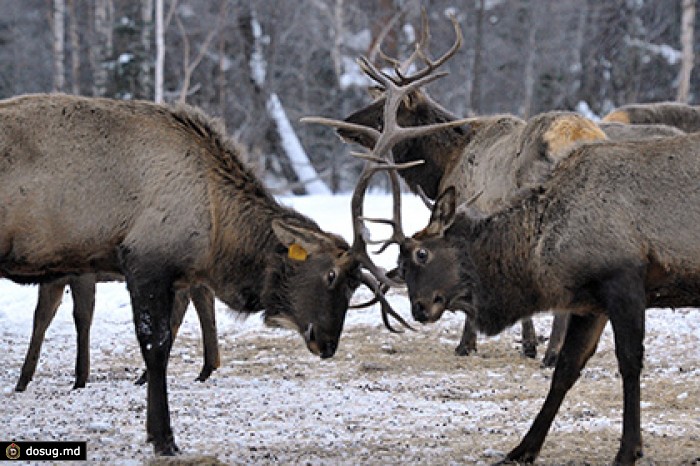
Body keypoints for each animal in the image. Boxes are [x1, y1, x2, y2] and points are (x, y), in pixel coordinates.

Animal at [14, 274, 219, 394]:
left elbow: (82, 317)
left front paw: (80, 379)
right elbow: (41, 317)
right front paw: (22, 381)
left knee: (184, 305)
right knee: (201, 296)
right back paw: (206, 369)